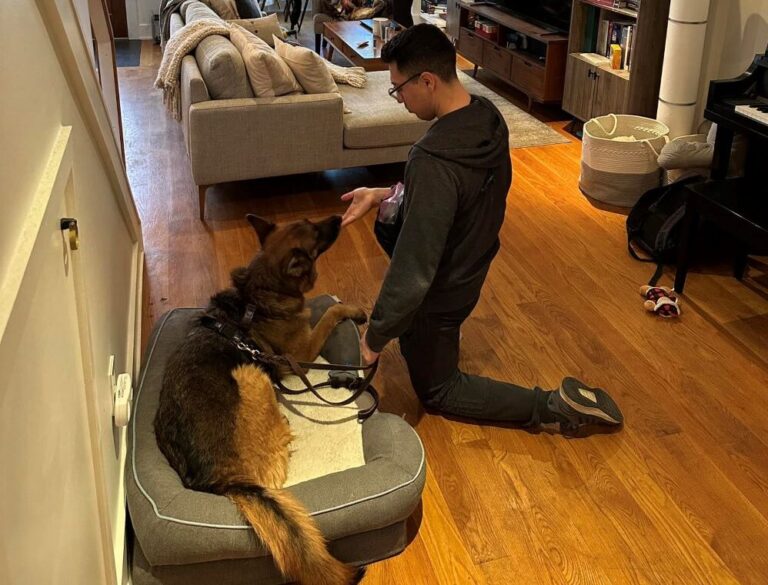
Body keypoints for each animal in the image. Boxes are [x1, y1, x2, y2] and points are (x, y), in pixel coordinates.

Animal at [155, 214, 367, 585]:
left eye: (307, 221)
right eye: (316, 233)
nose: (339, 217)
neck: (260, 291)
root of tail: (224, 480)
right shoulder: (303, 353)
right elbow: (329, 311)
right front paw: (351, 308)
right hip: (250, 372)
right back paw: (283, 422)